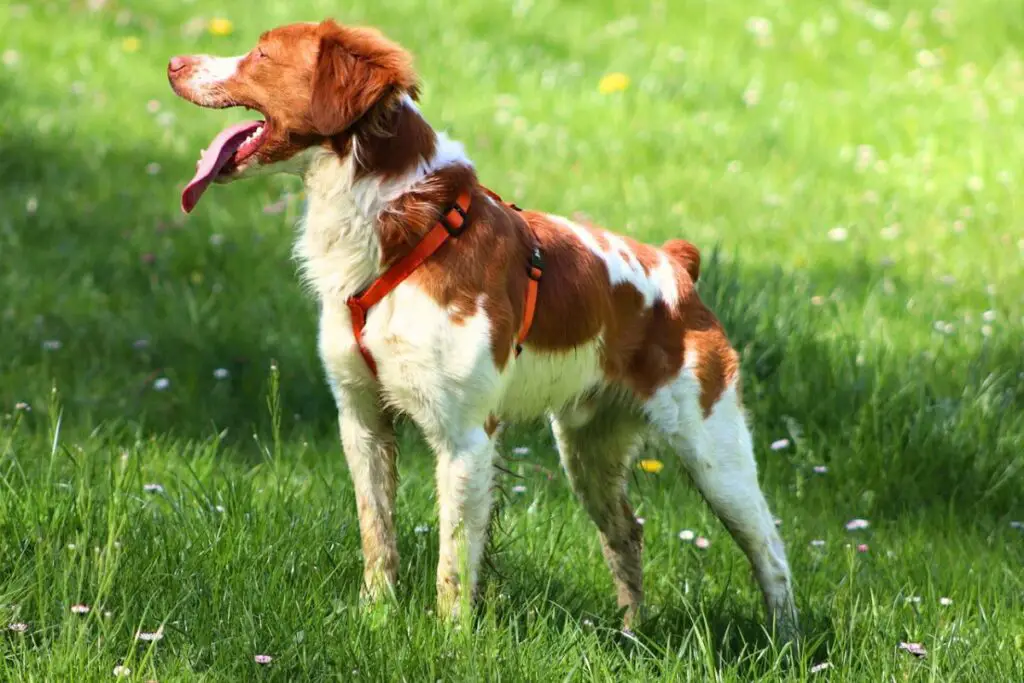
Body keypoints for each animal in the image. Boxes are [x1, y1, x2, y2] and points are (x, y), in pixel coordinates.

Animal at [165, 18, 798, 638]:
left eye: (262, 54)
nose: (173, 63)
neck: (398, 225)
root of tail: (675, 266)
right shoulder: (362, 418)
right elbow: (378, 535)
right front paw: (375, 619)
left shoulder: (464, 435)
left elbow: (453, 563)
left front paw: (448, 643)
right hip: (587, 451)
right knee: (627, 532)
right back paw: (630, 634)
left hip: (714, 450)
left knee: (770, 548)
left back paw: (783, 647)